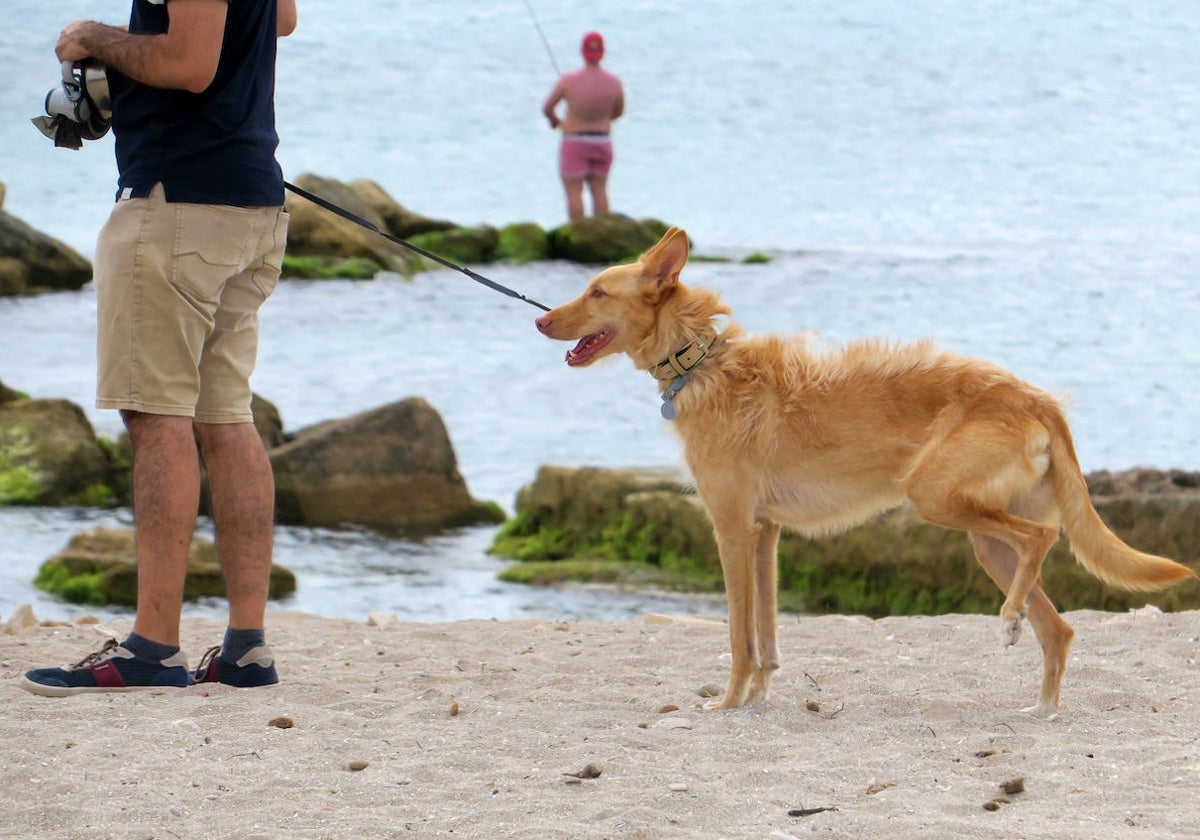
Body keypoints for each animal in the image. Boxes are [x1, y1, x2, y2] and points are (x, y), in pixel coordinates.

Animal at [540, 226, 1195, 710]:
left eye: (597, 291)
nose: (541, 320)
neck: (701, 363)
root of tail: (1037, 398)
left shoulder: (732, 530)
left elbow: (738, 637)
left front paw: (727, 704)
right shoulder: (765, 534)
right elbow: (766, 635)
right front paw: (756, 701)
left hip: (938, 499)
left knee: (1042, 537)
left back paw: (1010, 621)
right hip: (985, 539)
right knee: (1057, 626)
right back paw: (1040, 708)